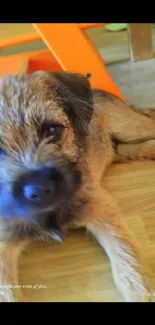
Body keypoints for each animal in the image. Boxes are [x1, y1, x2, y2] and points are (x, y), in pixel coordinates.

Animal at [0, 70, 155, 302]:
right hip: (124, 146)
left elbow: (129, 269)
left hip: (128, 127)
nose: (39, 190)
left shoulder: (99, 207)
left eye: (53, 130)